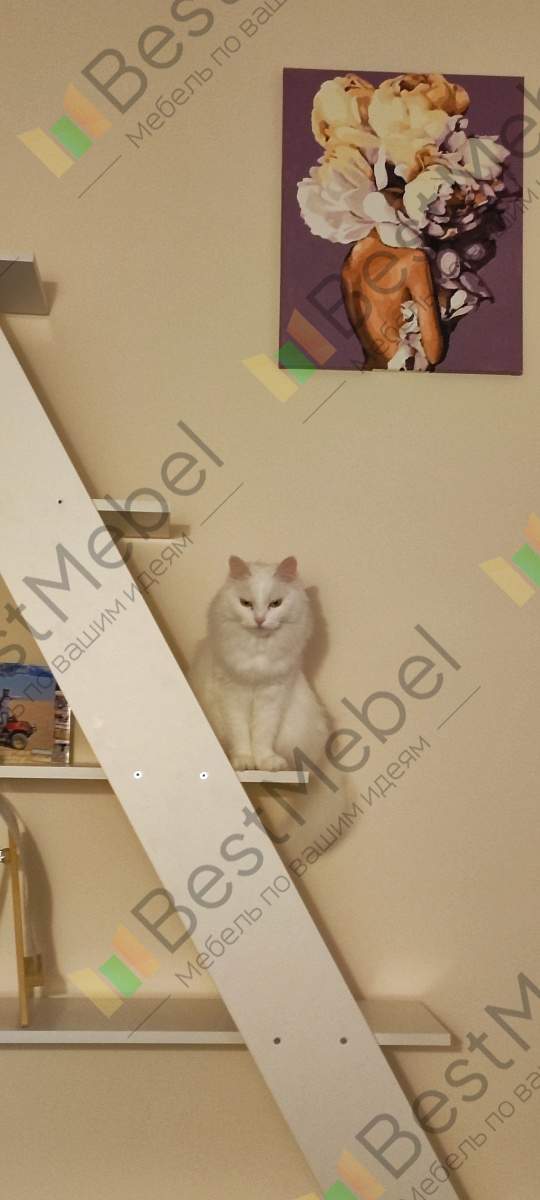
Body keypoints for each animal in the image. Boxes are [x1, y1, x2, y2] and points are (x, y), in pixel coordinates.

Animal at [190, 556, 330, 772]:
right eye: (246, 603)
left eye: (276, 603)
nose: (259, 619)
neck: (258, 653)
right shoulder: (232, 693)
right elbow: (239, 733)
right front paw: (244, 761)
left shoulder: (272, 696)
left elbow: (263, 735)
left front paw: (266, 763)